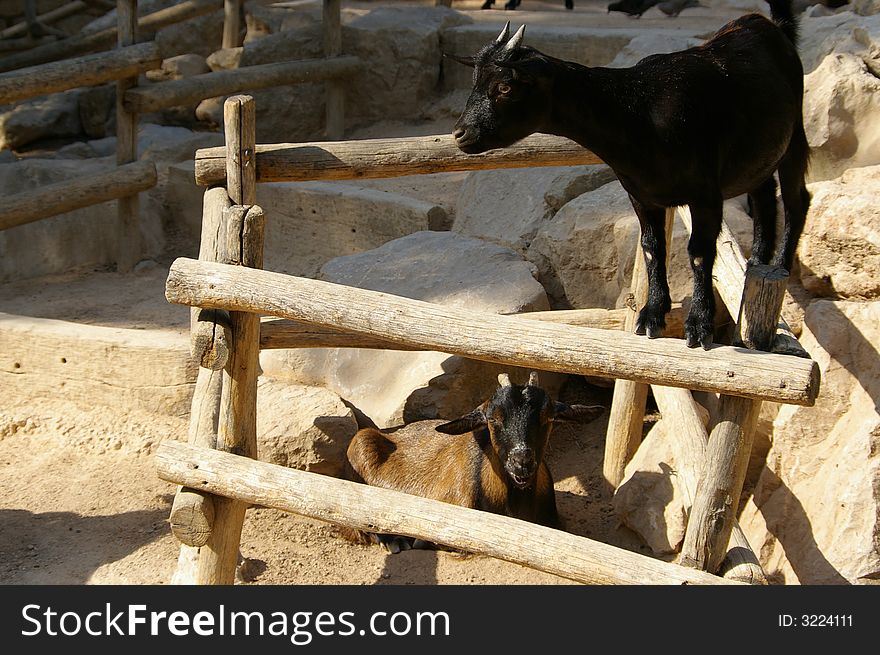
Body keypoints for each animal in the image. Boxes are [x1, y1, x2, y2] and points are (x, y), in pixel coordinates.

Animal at [454, 1, 812, 348]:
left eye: (504, 86)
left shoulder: (706, 194)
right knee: (764, 198)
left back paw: (779, 264)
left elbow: (698, 252)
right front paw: (652, 315)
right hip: (758, 156)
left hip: (795, 134)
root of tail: (774, 27)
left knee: (797, 200)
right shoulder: (641, 194)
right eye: (474, 82)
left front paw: (699, 325)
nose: (460, 133)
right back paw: (756, 263)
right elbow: (652, 247)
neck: (639, 113)